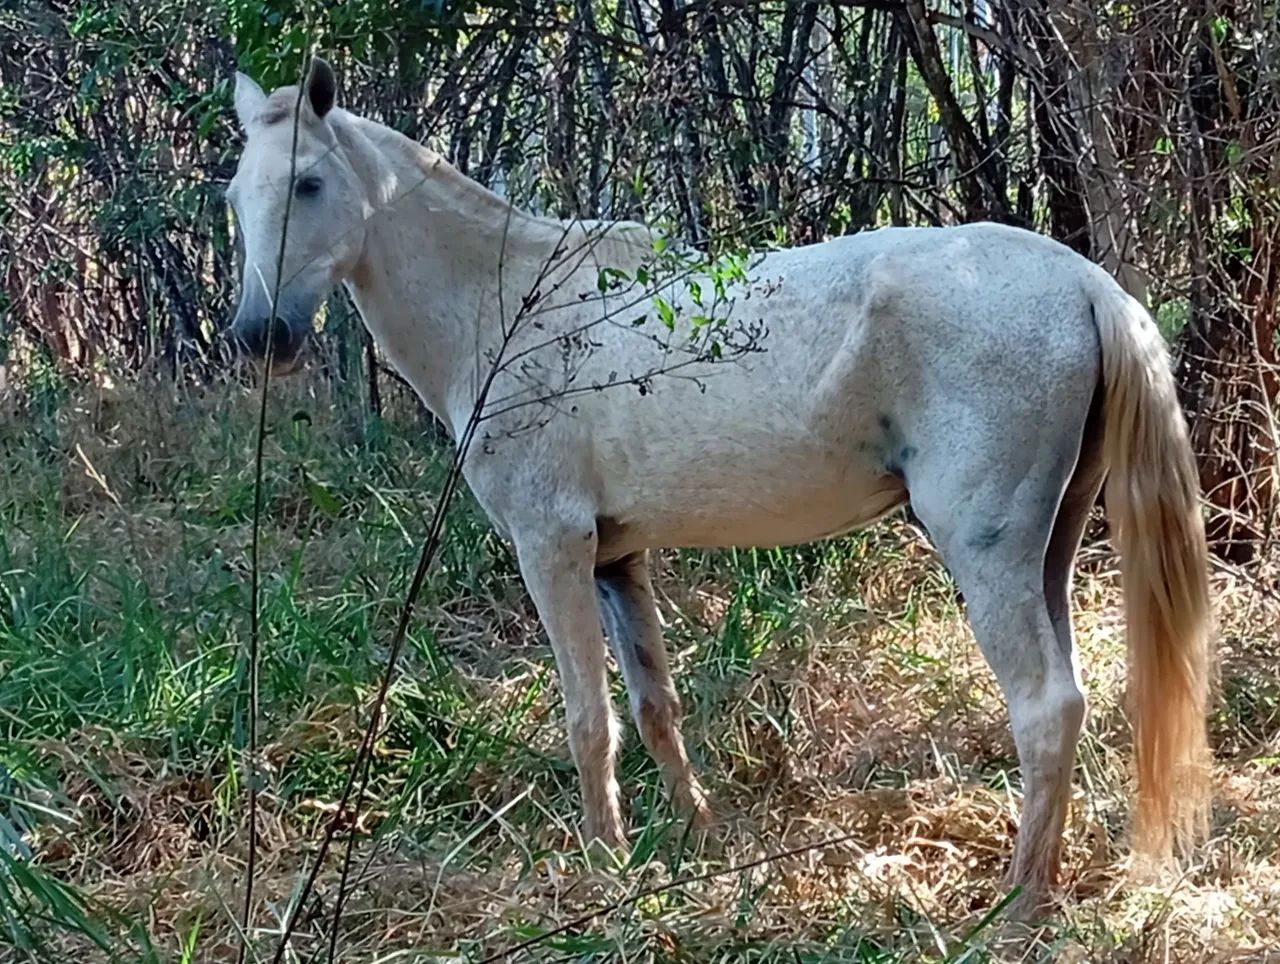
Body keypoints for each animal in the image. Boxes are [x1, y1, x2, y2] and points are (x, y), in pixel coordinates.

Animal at [225, 60, 1213, 916]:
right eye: (236, 197)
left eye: (308, 183)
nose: (259, 336)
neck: (506, 311)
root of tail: (1081, 280)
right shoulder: (615, 558)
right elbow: (653, 706)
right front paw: (697, 840)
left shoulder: (551, 546)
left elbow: (588, 718)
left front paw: (605, 867)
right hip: (1051, 547)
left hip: (986, 550)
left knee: (1045, 708)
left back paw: (1015, 907)